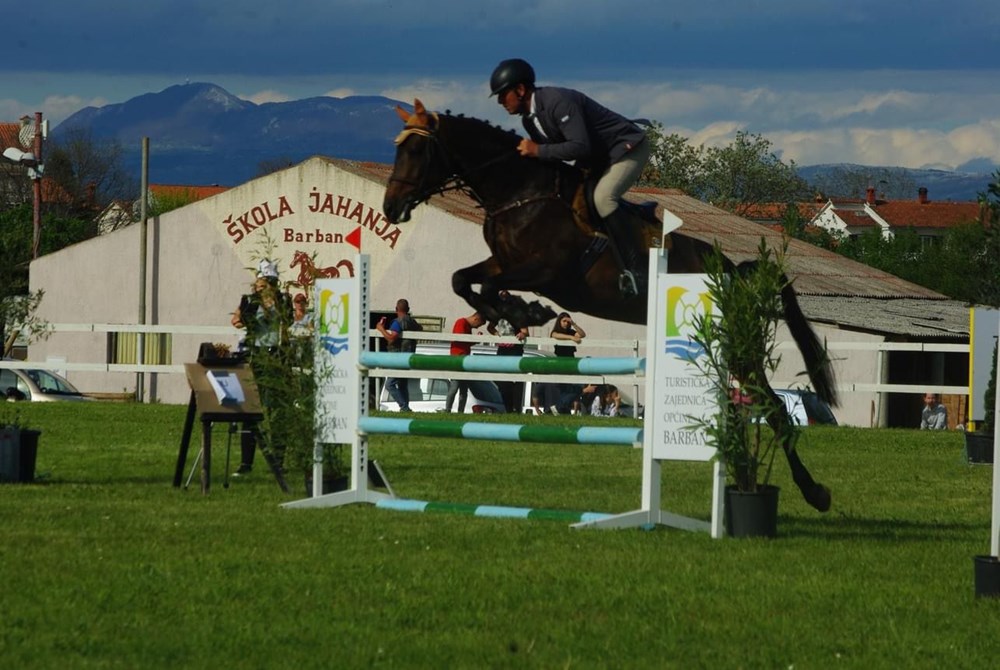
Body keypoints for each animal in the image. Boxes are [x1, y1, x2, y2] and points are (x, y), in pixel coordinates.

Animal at [382, 99, 836, 513]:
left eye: (417, 151)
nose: (390, 208)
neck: (519, 193)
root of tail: (733, 269)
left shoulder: (546, 273)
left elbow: (492, 285)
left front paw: (525, 313)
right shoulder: (503, 262)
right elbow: (462, 279)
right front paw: (503, 315)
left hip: (737, 343)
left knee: (774, 408)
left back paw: (814, 493)